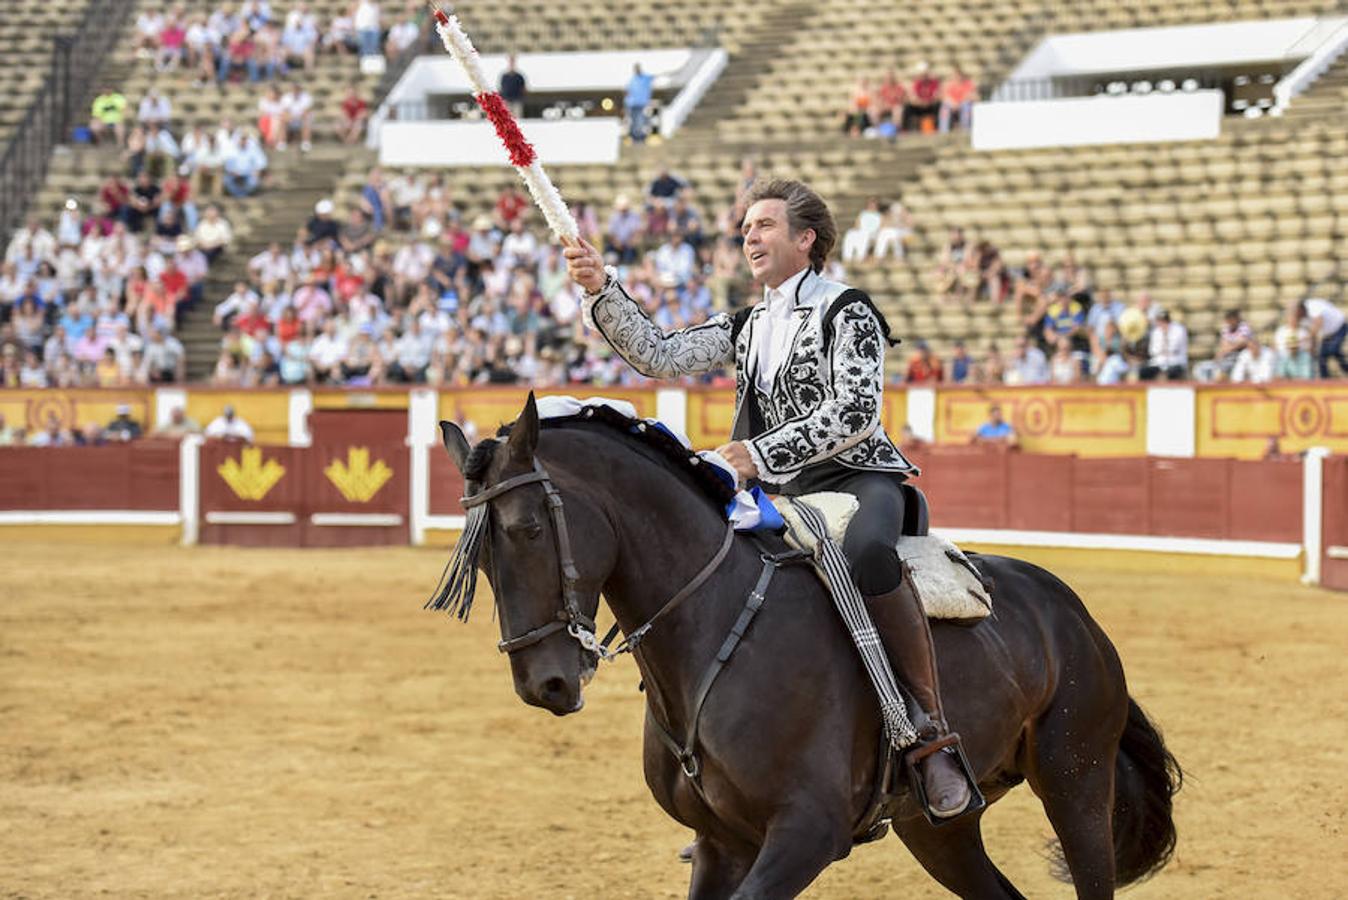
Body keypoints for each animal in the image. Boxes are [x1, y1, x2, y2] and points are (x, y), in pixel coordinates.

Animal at [434, 398, 1180, 900]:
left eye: (528, 528)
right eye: (478, 554)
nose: (545, 684)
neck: (716, 623)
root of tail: (1071, 611)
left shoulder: (805, 835)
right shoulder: (720, 844)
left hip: (1076, 779)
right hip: (939, 827)